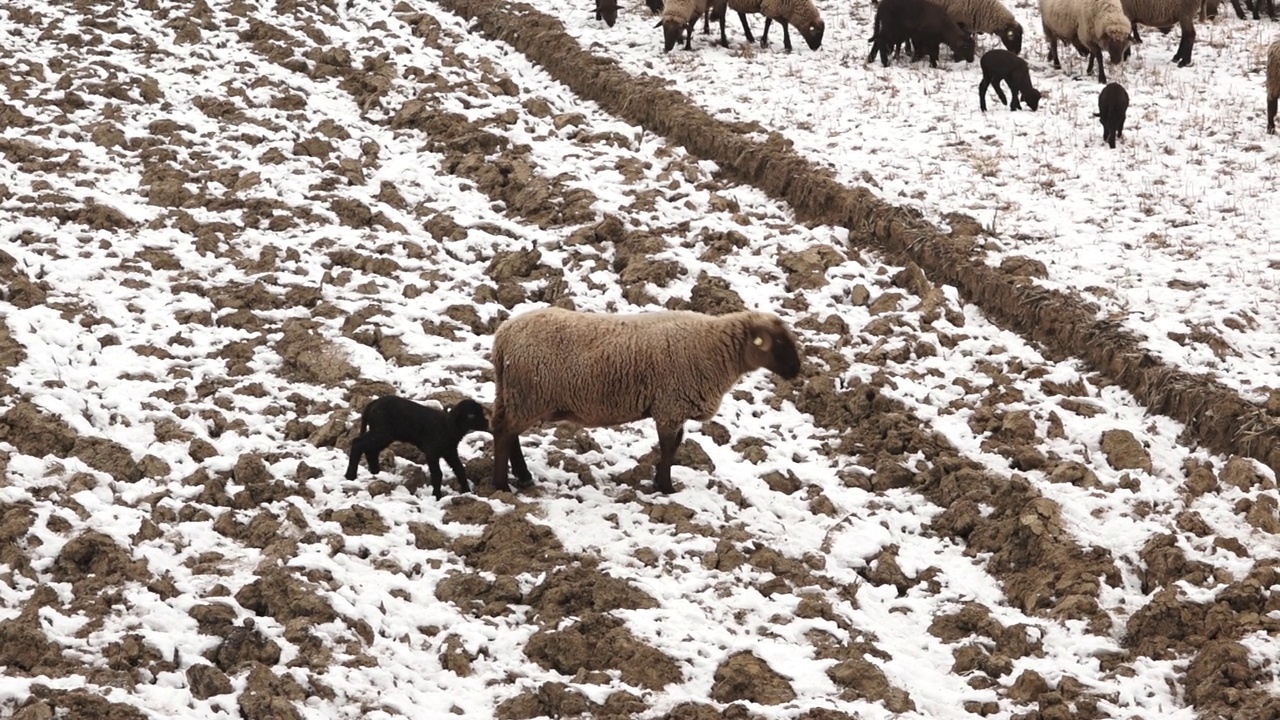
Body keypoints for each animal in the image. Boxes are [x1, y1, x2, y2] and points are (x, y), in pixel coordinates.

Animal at [345, 392, 488, 499]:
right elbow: (438, 474)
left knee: (371, 451)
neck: (447, 426)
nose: (486, 424)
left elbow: (460, 470)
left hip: (384, 434)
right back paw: (350, 475)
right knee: (358, 443)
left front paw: (467, 492)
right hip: (381, 431)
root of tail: (372, 404)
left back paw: (376, 473)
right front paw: (436, 496)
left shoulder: (450, 452)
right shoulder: (432, 452)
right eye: (471, 415)